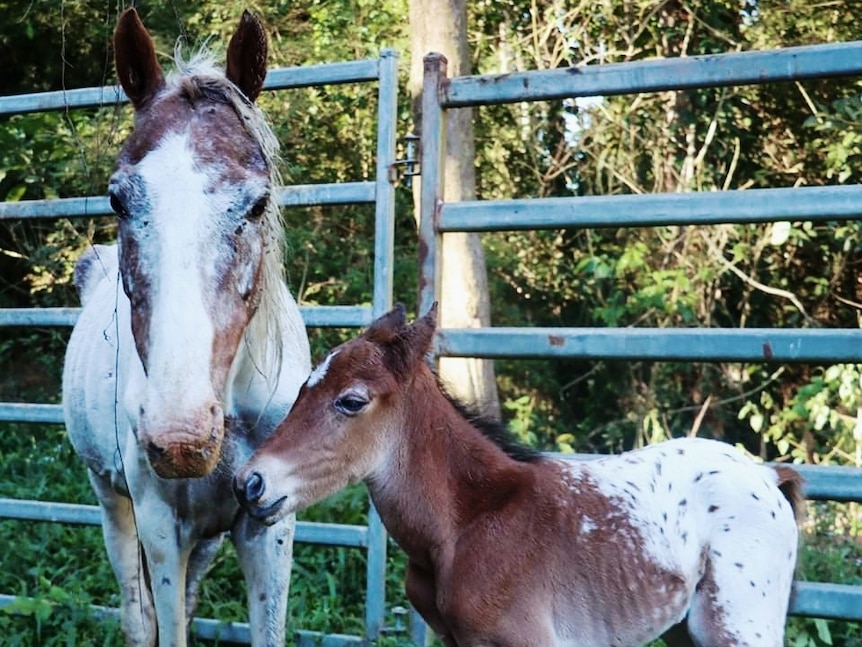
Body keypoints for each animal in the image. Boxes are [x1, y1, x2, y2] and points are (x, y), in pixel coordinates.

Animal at [61, 8, 310, 647]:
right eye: (118, 200)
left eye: (256, 203)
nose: (181, 439)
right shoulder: (159, 525)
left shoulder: (267, 525)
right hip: (110, 500)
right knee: (136, 609)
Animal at [235, 306, 804, 647]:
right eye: (302, 391)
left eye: (351, 401)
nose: (250, 483)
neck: (465, 524)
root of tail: (768, 476)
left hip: (739, 624)